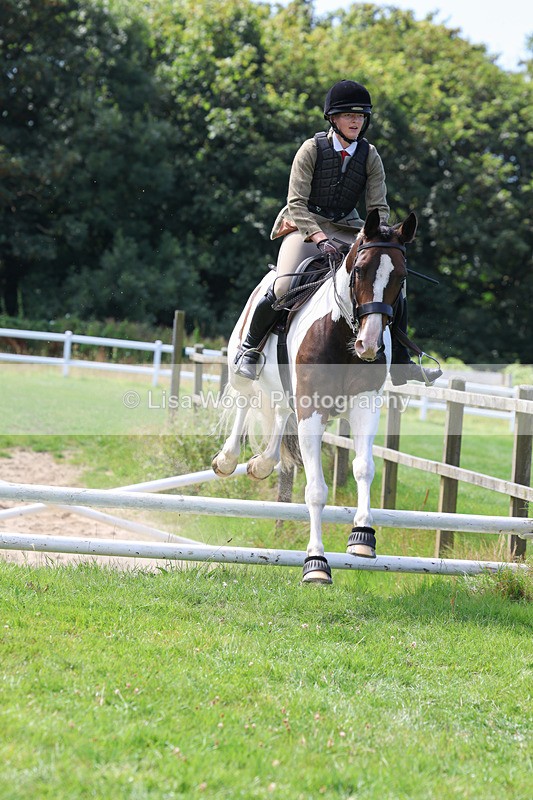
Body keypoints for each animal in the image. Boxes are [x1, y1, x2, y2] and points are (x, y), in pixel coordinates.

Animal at [212, 208, 415, 584]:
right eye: (359, 270)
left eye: (402, 277)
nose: (369, 345)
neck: (341, 332)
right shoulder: (312, 412)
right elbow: (316, 491)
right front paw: (316, 563)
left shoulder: (365, 406)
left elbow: (364, 468)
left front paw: (363, 538)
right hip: (243, 367)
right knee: (245, 400)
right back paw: (228, 459)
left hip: (288, 395)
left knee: (279, 415)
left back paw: (262, 464)